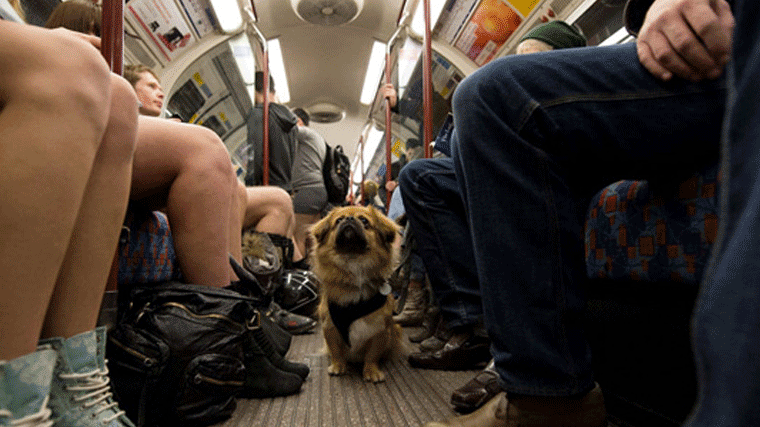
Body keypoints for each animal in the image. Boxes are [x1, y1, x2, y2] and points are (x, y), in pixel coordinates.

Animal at [308, 206, 404, 382]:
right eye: (339, 220)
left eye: (364, 220)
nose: (349, 219)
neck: (353, 261)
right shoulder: (330, 327)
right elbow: (336, 352)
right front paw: (338, 367)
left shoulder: (380, 331)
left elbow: (372, 355)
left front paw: (371, 371)